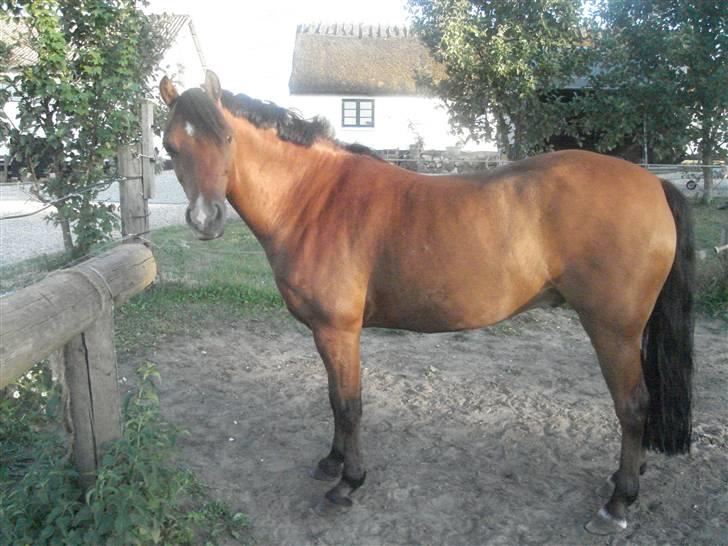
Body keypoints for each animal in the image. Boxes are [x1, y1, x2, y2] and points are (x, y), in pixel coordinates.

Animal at [159, 70, 694, 535]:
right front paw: (331, 462)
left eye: (228, 138)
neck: (314, 198)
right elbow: (333, 398)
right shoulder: (324, 333)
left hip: (613, 330)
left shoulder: (339, 330)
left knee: (633, 405)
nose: (205, 220)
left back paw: (618, 503)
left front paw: (348, 483)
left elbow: (349, 403)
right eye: (171, 147)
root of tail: (653, 182)